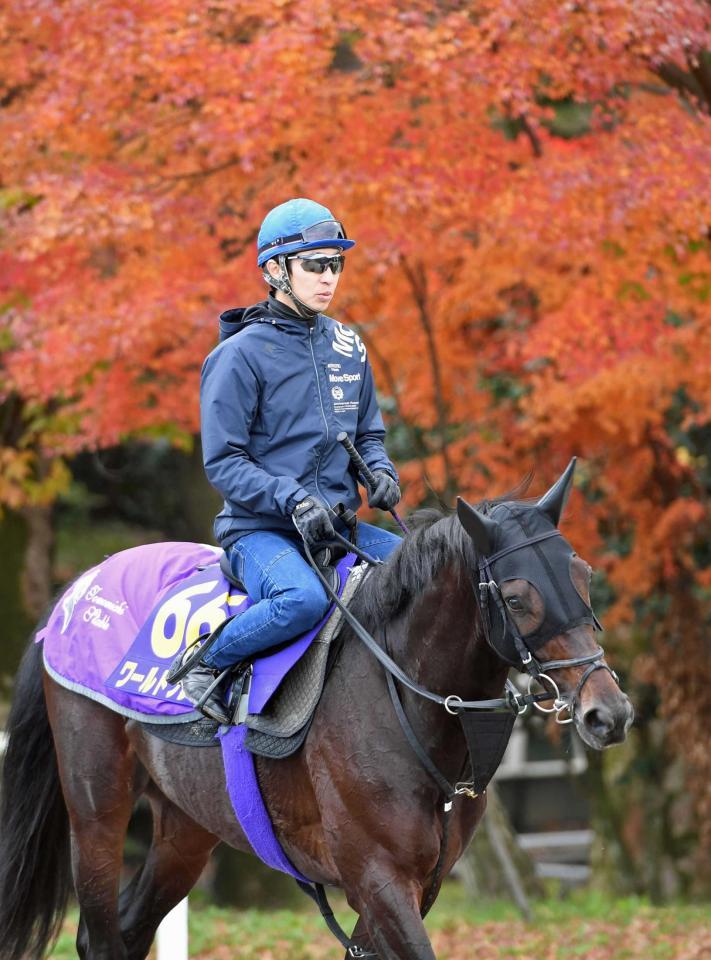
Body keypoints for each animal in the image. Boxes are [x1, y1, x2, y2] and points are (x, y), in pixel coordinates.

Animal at [0, 462, 636, 956]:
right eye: (517, 598)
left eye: (583, 575)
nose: (608, 712)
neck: (401, 696)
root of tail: (77, 589)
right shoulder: (378, 880)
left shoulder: (416, 885)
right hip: (96, 811)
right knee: (101, 935)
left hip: (185, 826)